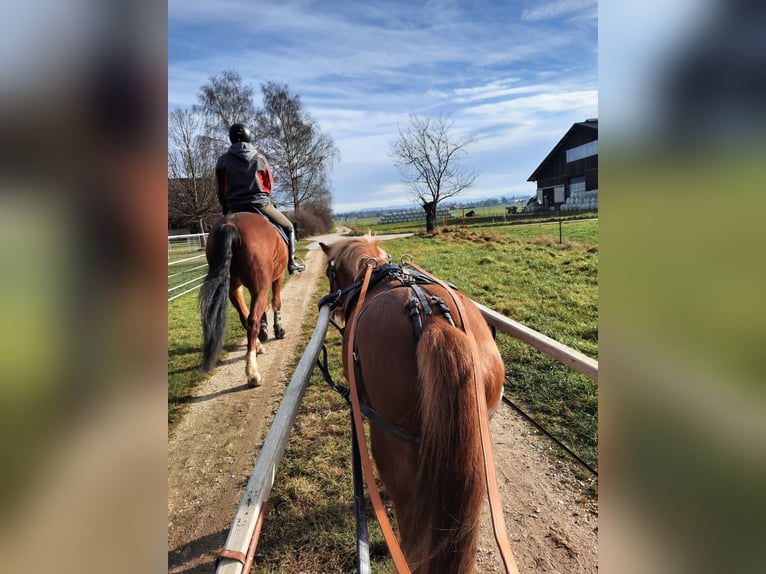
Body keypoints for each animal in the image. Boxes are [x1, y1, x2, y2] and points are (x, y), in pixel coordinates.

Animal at [200, 214, 290, 390]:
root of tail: (230, 224)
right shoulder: (278, 277)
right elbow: (276, 302)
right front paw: (278, 330)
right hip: (260, 286)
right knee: (253, 319)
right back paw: (253, 374)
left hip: (233, 288)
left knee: (245, 318)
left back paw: (257, 348)